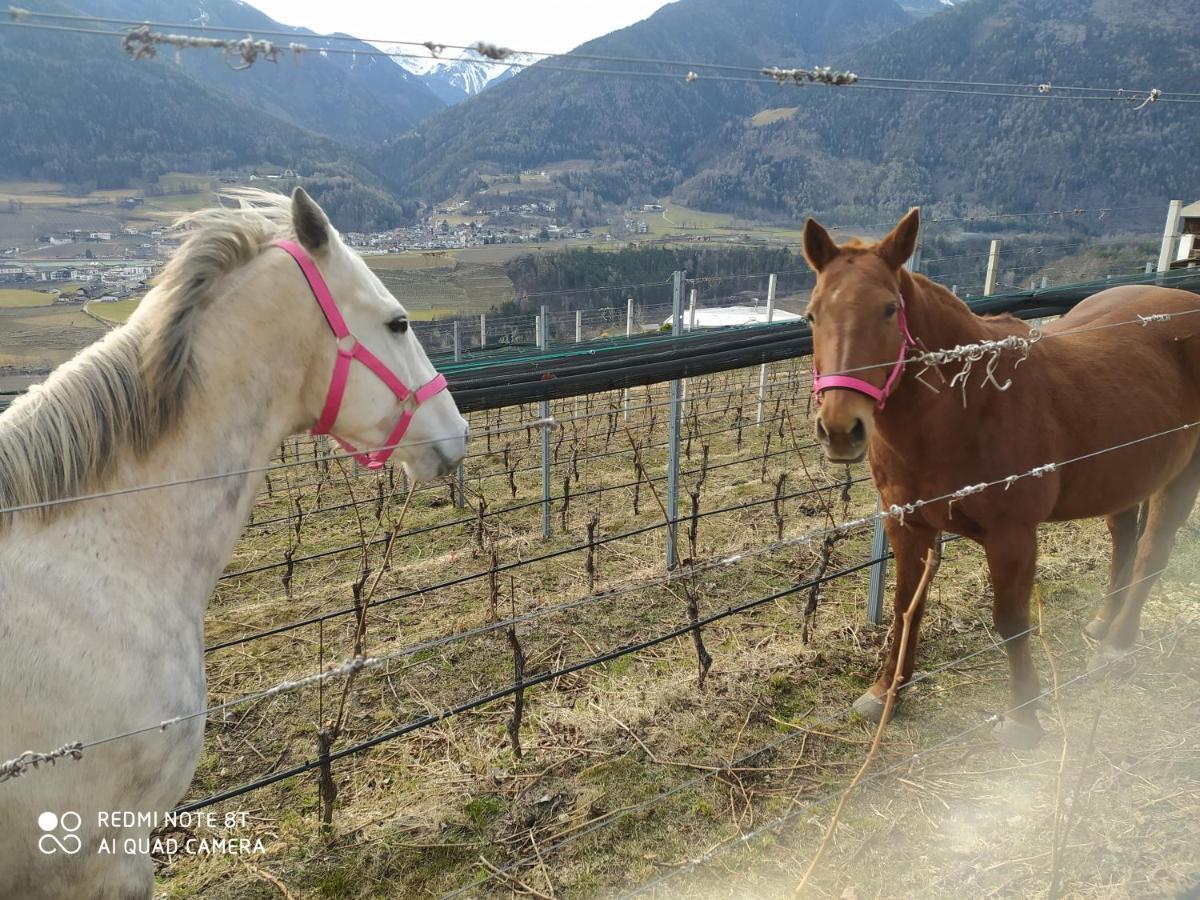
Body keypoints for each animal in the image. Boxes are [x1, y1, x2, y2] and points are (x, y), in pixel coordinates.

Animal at [801, 210, 1200, 748]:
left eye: (888, 309)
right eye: (811, 315)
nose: (841, 428)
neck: (966, 406)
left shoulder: (1012, 537)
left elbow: (1011, 621)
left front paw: (1023, 716)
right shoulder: (908, 527)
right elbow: (906, 608)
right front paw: (885, 693)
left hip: (1183, 473)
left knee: (1153, 552)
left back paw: (1117, 645)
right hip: (1129, 472)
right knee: (1126, 539)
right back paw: (1104, 623)